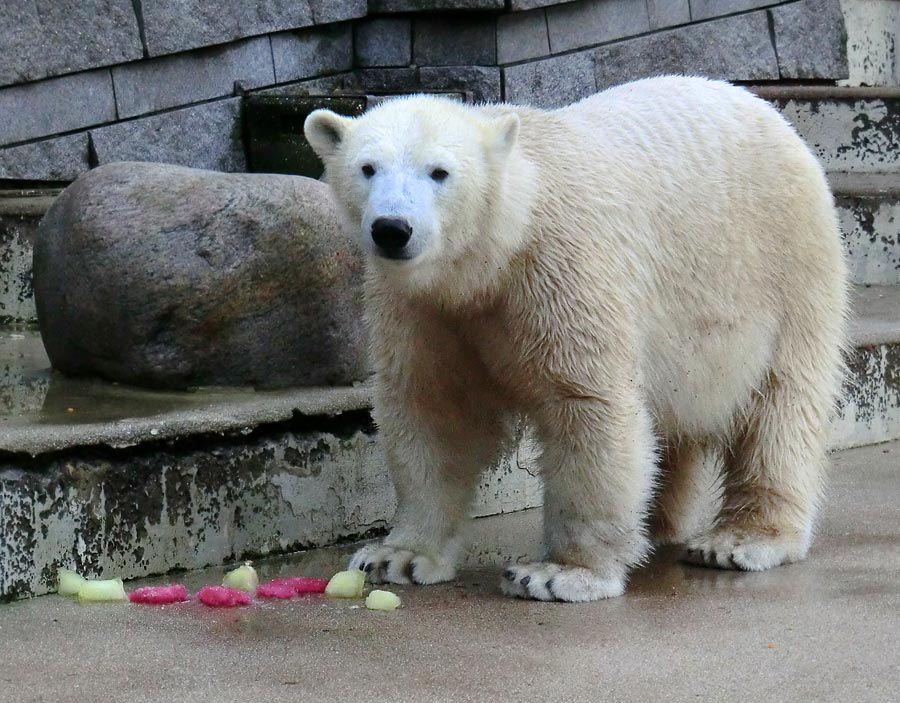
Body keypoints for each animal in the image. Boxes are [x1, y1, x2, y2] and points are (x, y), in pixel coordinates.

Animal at [306, 77, 848, 604]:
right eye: (367, 168)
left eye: (439, 172)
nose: (392, 229)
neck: (497, 253)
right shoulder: (423, 309)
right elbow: (433, 409)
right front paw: (396, 556)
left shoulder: (562, 267)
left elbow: (587, 404)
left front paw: (559, 574)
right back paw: (657, 523)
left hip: (783, 268)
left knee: (780, 404)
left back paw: (741, 540)